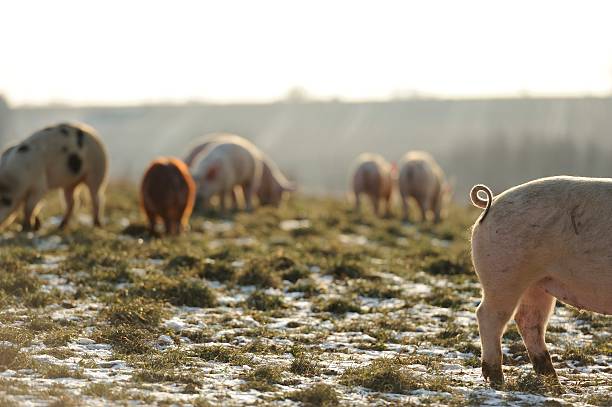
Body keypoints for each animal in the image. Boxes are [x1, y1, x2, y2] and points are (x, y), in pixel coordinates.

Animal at [470, 177, 608, 388]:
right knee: (489, 315)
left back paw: (554, 384)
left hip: (536, 283)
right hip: (504, 275)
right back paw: (498, 381)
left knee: (528, 321)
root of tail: (491, 204)